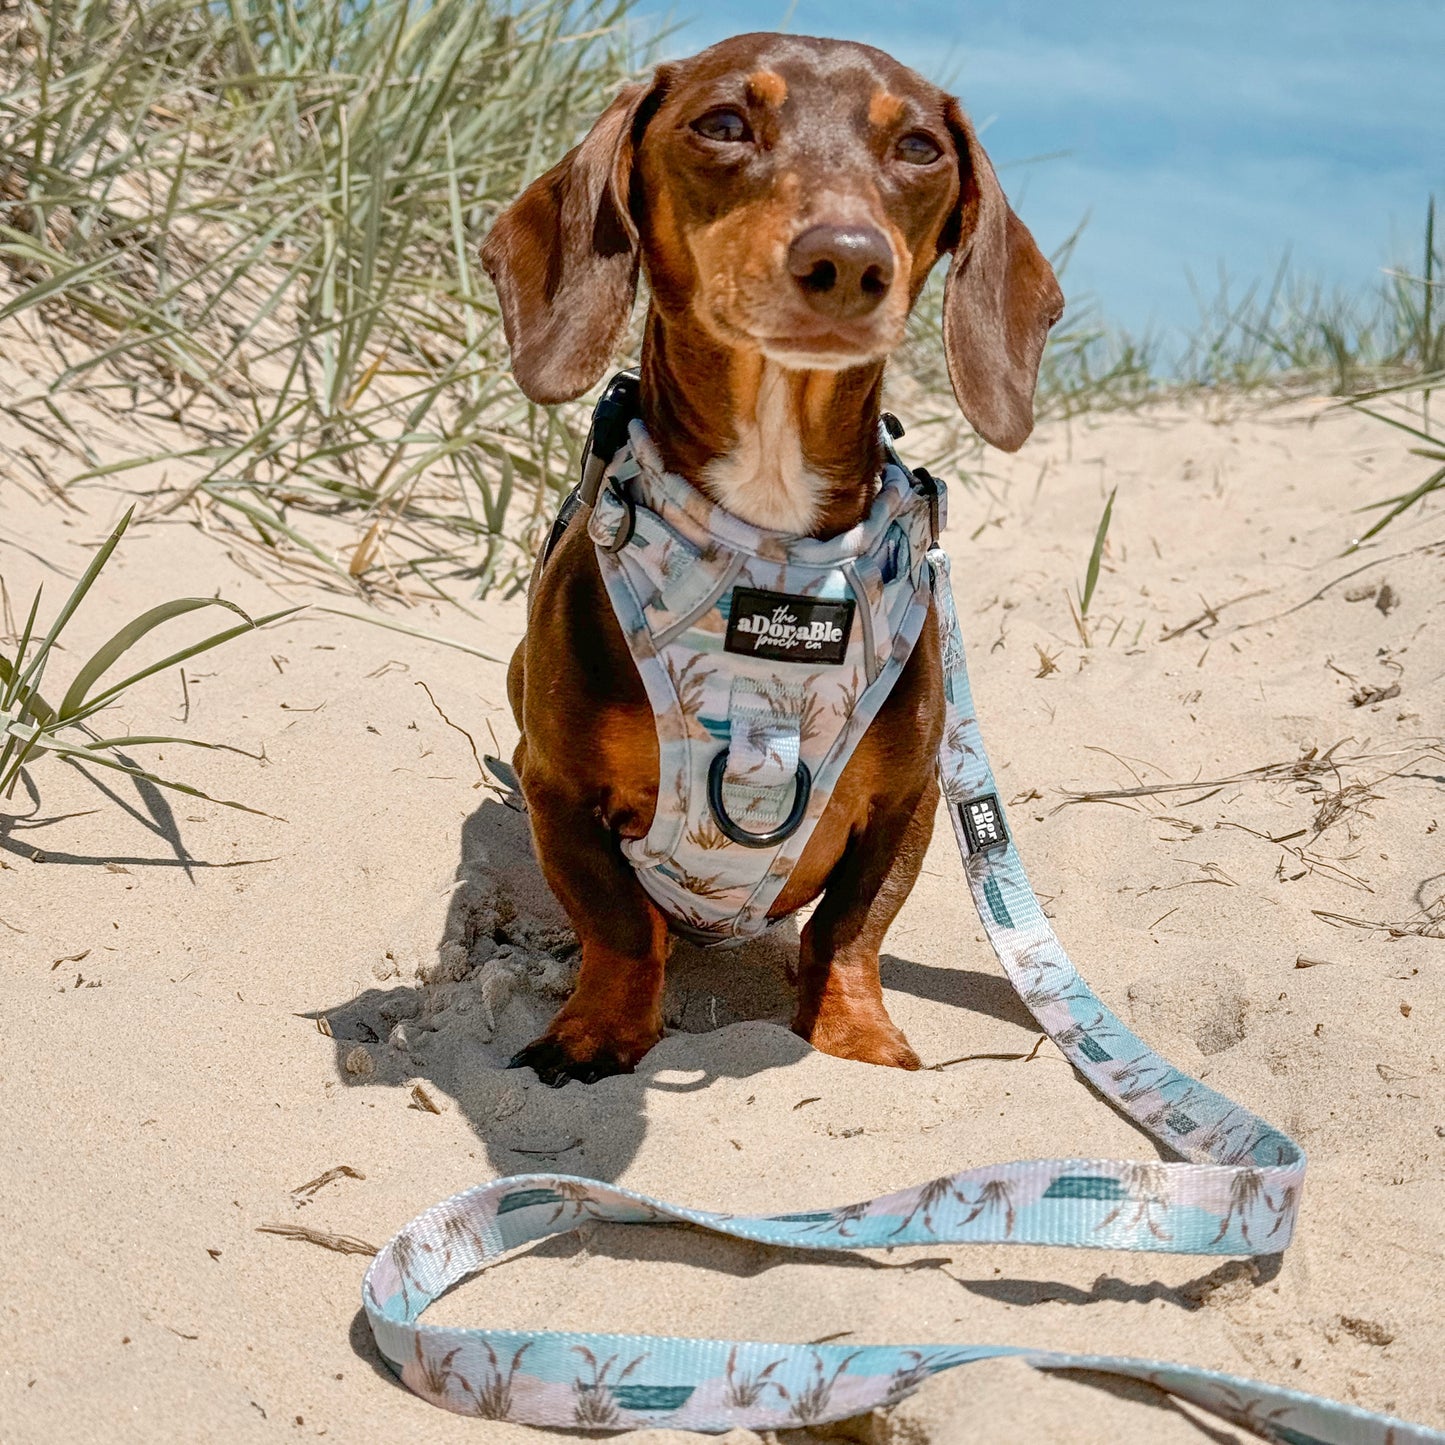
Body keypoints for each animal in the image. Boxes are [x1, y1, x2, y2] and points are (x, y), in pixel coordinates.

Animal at [485, 33, 1063, 1086]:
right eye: (721, 123)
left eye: (918, 147)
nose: (846, 260)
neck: (772, 540)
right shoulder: (559, 789)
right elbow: (619, 923)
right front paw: (596, 1035)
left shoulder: (907, 801)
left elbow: (849, 929)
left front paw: (855, 1038)